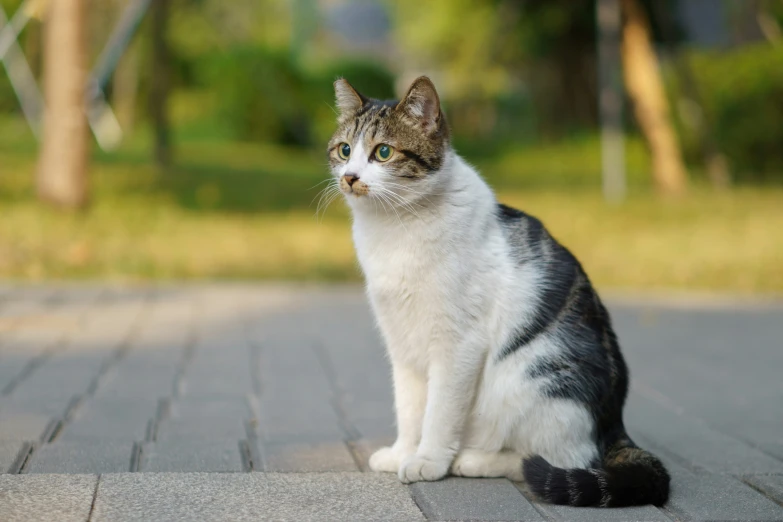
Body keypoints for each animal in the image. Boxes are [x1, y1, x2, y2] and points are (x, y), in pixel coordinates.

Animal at [328, 75, 672, 506]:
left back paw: (474, 459)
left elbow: (439, 412)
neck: (393, 228)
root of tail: (614, 425)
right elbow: (408, 407)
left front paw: (428, 461)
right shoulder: (401, 341)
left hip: (534, 381)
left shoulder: (459, 343)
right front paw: (402, 452)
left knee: (557, 457)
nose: (350, 177)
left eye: (383, 152)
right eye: (344, 150)